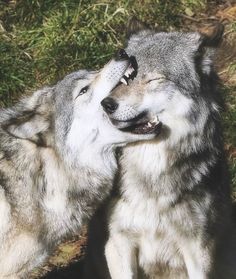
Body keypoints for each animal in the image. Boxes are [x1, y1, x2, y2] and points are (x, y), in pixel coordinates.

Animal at [83, 20, 236, 279]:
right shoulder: (119, 243)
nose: (107, 104)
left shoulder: (198, 248)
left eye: (154, 80)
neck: (150, 168)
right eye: (123, 78)